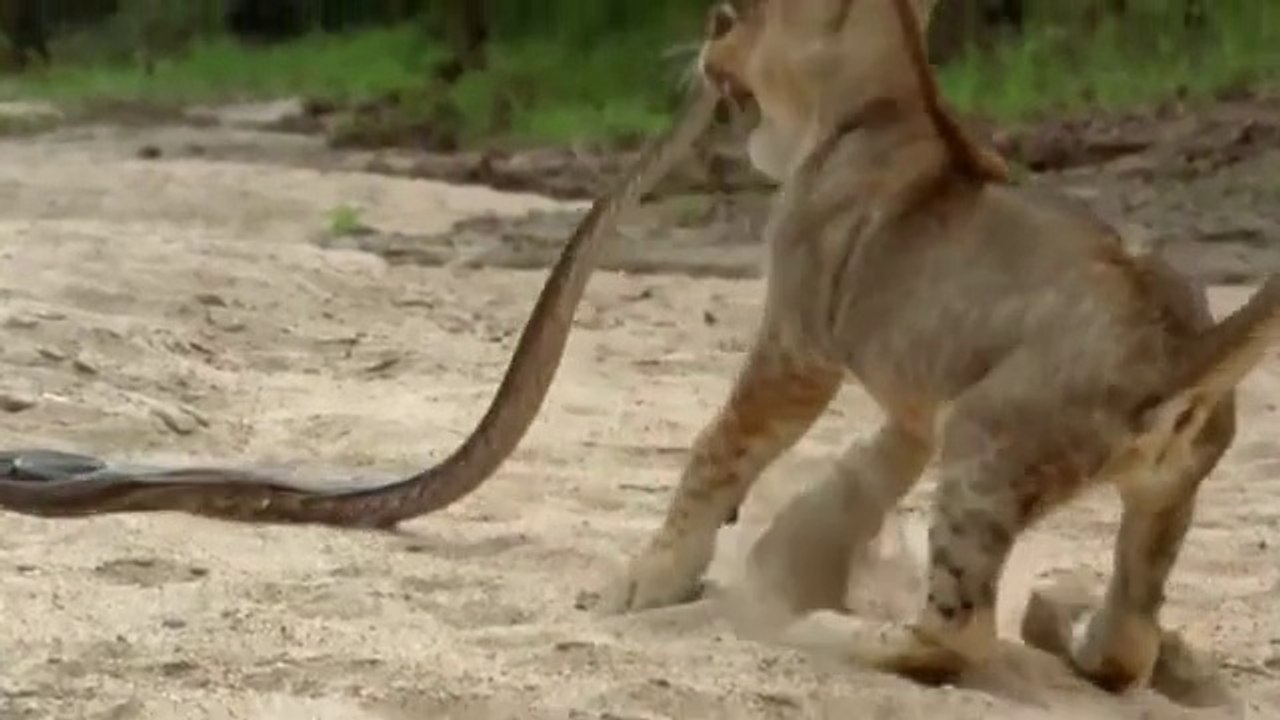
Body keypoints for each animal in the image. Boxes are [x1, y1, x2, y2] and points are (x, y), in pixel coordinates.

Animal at [595, 0, 1280, 693]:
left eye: (730, 19)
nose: (704, 43)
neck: (881, 104)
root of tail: (1181, 346)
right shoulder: (915, 384)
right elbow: (876, 459)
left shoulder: (794, 350)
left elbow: (716, 452)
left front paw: (646, 579)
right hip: (1165, 498)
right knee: (1128, 644)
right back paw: (1079, 638)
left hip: (983, 440)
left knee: (958, 633)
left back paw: (837, 632)